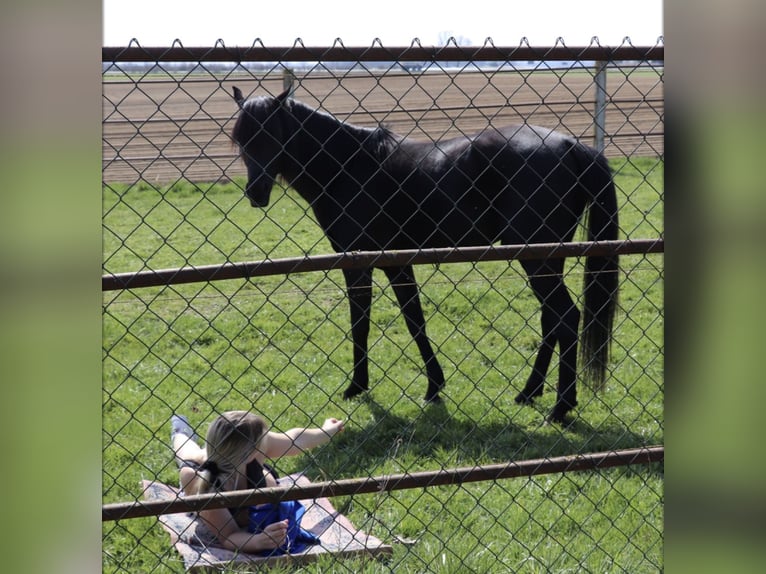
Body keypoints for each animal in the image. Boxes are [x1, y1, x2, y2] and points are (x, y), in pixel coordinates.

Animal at [231, 86, 620, 424]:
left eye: (272, 134)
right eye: (240, 139)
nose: (255, 192)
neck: (350, 167)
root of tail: (569, 145)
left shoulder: (360, 264)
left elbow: (363, 322)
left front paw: (357, 387)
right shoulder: (395, 262)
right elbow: (413, 319)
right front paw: (434, 386)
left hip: (537, 259)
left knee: (565, 317)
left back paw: (560, 406)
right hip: (547, 257)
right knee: (550, 319)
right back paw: (529, 392)